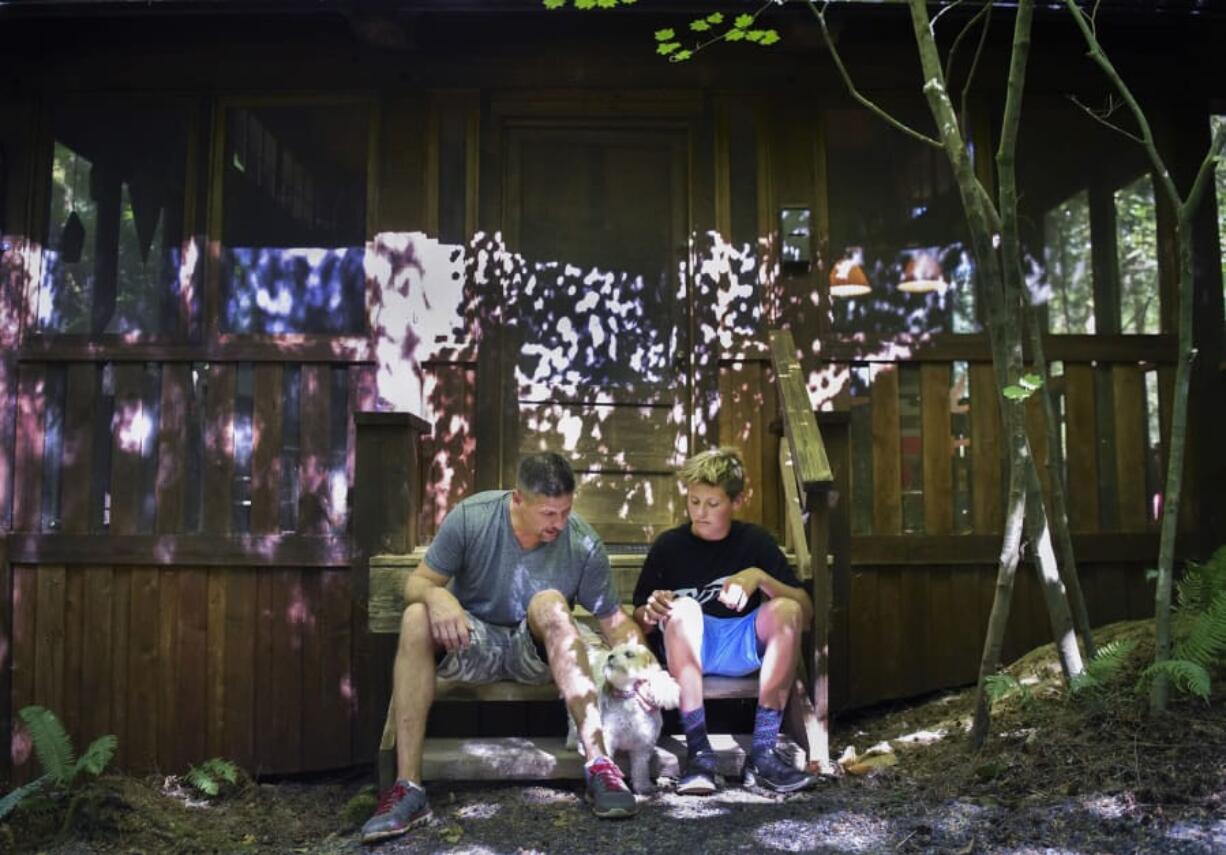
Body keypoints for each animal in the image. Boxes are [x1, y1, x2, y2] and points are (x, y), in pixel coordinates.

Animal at [563, 632, 681, 794]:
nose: (610, 656)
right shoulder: (609, 736)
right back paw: (574, 743)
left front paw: (643, 786)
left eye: (629, 654)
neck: (628, 696)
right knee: (574, 725)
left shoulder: (642, 745)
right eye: (612, 652)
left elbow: (640, 769)